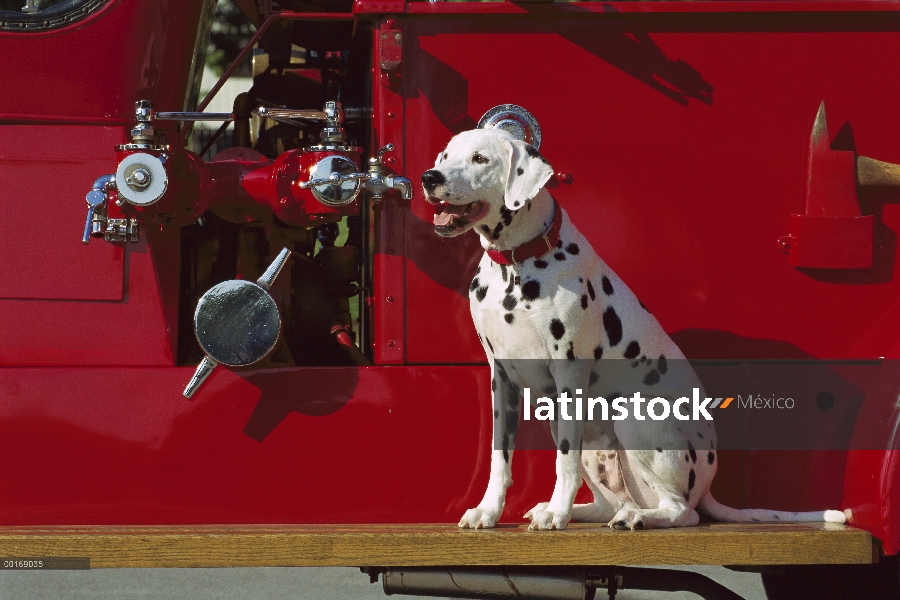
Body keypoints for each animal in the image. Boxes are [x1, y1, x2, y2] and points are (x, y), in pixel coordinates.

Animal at [418, 126, 848, 528]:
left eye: (480, 158)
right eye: (445, 155)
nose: (429, 177)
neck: (517, 263)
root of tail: (708, 485)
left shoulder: (569, 374)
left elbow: (563, 463)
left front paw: (556, 514)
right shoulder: (502, 379)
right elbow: (500, 460)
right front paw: (488, 511)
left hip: (634, 418)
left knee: (681, 511)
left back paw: (633, 517)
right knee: (612, 501)